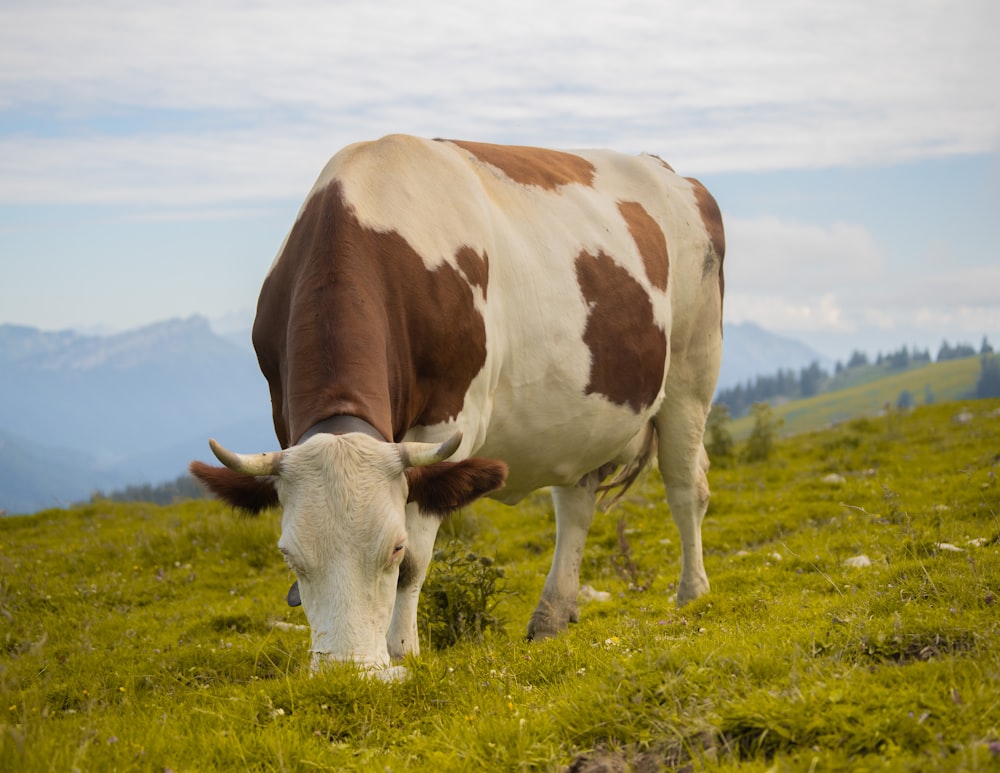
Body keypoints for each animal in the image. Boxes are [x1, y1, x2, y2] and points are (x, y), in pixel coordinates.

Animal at [189, 134, 728, 676]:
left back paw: (693, 593)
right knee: (576, 505)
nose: (349, 674)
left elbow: (417, 562)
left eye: (392, 548)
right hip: (582, 418)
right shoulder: (284, 416)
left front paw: (400, 650)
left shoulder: (447, 423)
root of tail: (670, 172)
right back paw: (552, 616)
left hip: (691, 371)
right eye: (289, 557)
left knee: (687, 487)